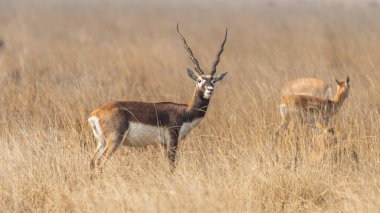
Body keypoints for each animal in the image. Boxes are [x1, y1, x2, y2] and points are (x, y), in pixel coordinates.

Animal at [87, 24, 227, 171]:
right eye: (199, 80)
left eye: (213, 80)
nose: (210, 89)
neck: (185, 111)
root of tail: (95, 113)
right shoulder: (172, 139)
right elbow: (171, 166)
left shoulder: (164, 144)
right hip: (114, 141)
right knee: (100, 163)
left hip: (101, 142)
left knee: (92, 162)